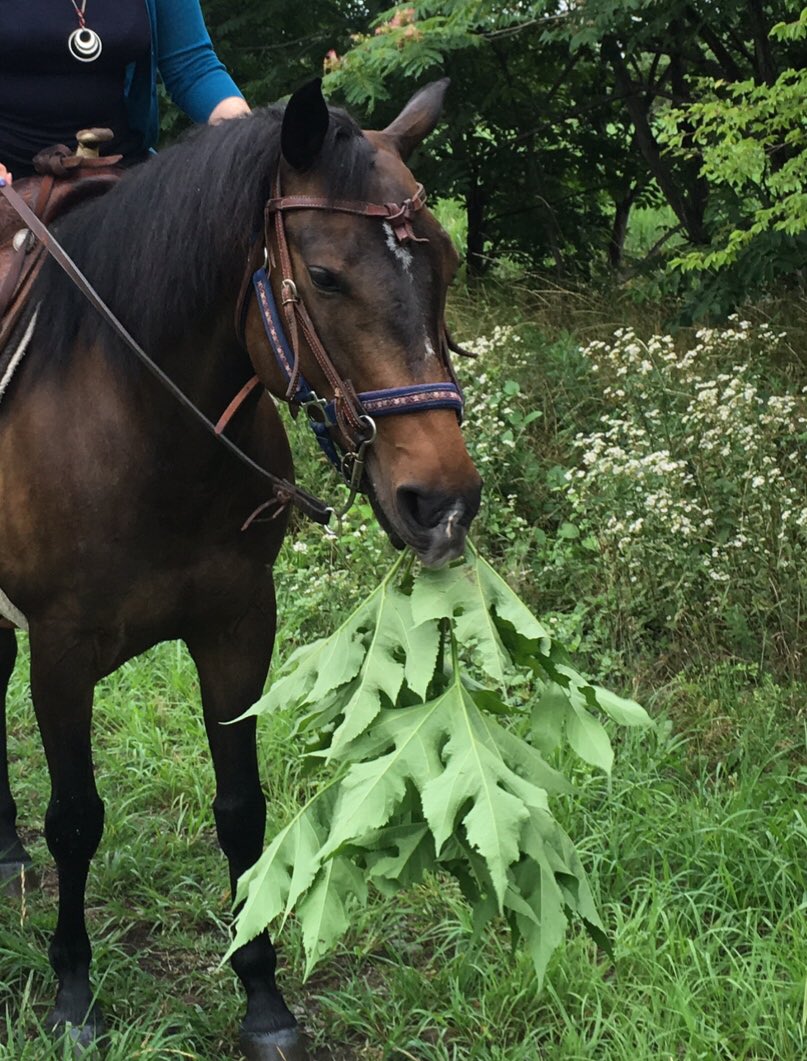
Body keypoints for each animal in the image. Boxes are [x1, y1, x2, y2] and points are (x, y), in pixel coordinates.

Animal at [0, 79, 481, 1059]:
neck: (141, 425)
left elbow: (241, 808)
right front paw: (73, 992)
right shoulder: (61, 652)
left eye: (447, 264)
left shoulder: (237, 626)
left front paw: (261, 993)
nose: (441, 502)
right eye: (326, 276)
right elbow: (75, 818)